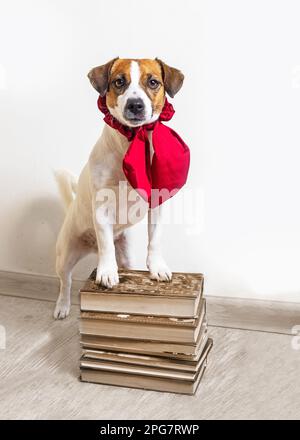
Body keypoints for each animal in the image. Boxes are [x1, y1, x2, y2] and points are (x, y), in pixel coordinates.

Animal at [54, 58, 185, 320]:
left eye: (153, 82)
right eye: (119, 82)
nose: (136, 104)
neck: (130, 141)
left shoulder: (156, 205)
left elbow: (155, 239)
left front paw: (157, 266)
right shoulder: (101, 210)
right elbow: (106, 246)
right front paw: (106, 272)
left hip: (126, 254)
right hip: (65, 255)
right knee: (66, 281)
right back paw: (62, 306)